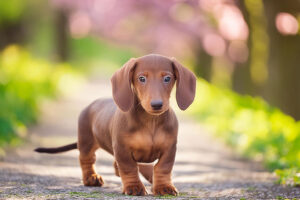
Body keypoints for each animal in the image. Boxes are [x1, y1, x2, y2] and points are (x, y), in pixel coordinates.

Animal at [34, 54, 197, 195]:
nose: (157, 104)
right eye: (142, 78)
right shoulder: (122, 148)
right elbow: (129, 167)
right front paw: (134, 187)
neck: (151, 122)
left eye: (167, 78)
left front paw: (164, 187)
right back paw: (91, 178)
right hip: (86, 141)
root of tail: (90, 105)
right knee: (87, 160)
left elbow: (163, 167)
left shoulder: (169, 149)